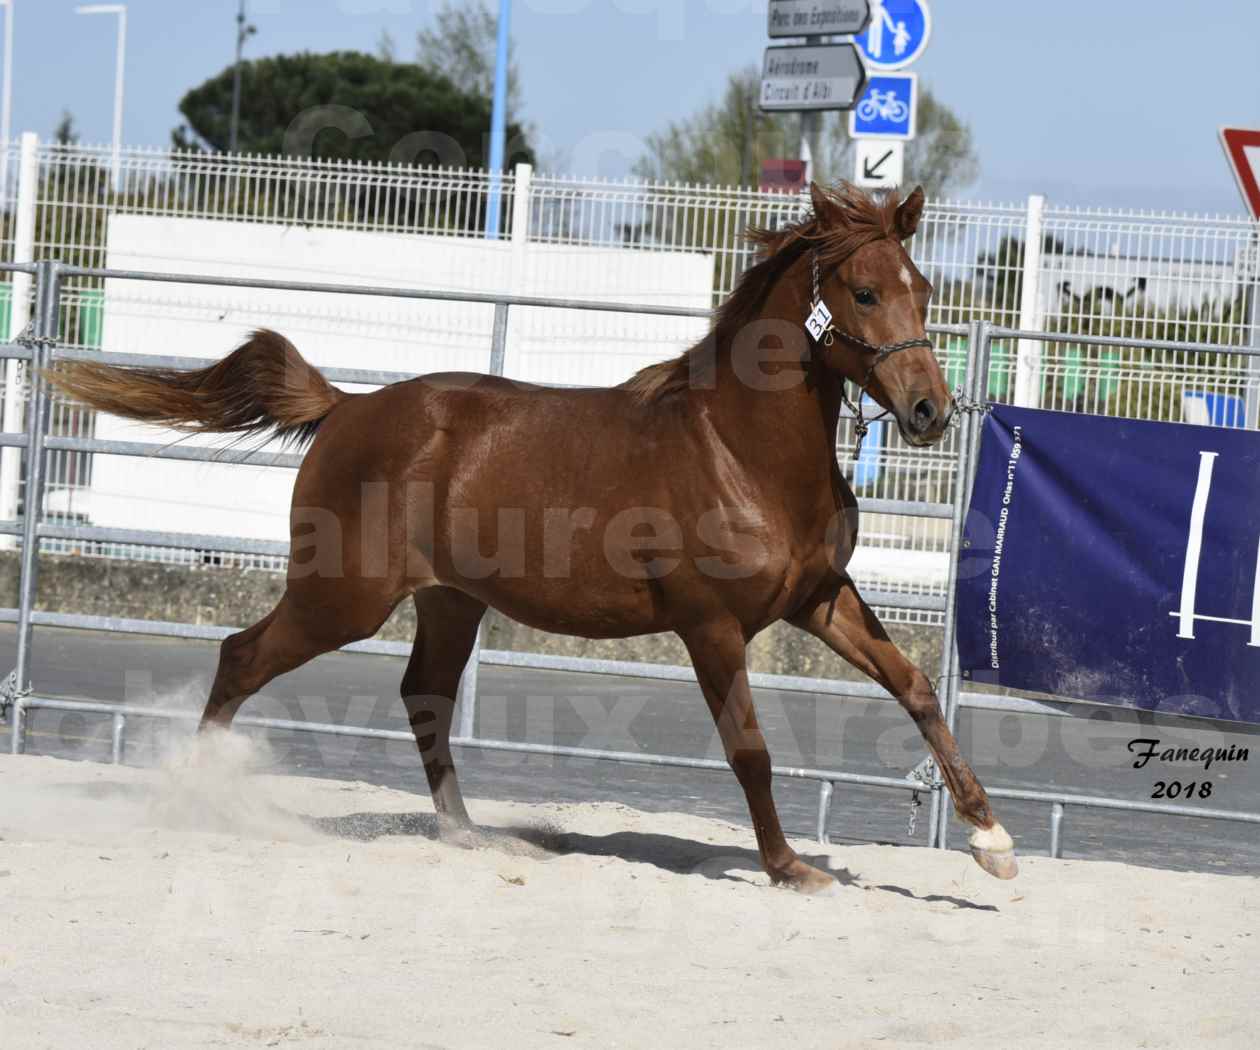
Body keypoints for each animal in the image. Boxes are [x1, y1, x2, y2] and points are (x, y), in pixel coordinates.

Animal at [51, 184, 1013, 887]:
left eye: (922, 290)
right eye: (864, 291)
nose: (929, 412)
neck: (740, 453)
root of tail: (348, 408)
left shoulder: (817, 599)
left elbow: (915, 688)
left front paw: (991, 840)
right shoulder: (711, 627)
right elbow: (751, 750)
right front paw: (788, 870)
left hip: (448, 602)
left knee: (423, 695)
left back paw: (469, 835)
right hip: (341, 598)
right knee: (242, 657)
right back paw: (193, 795)